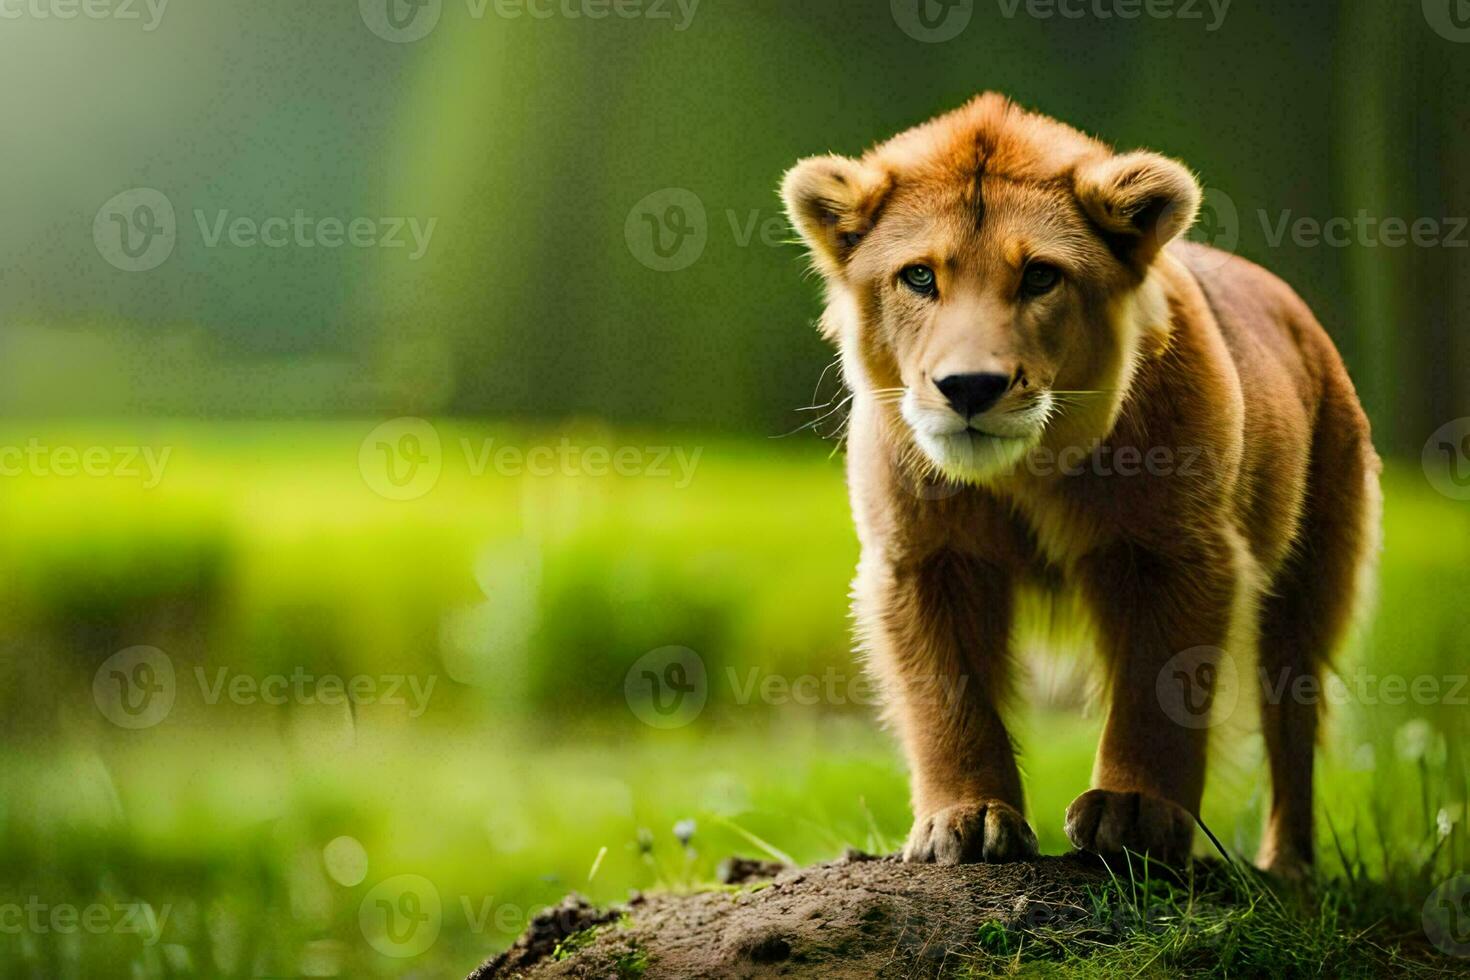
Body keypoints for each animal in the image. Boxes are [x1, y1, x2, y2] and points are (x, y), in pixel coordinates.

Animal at [782, 94, 1375, 875]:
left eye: (1039, 277)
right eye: (919, 277)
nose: (969, 387)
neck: (1029, 467)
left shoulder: (1180, 550)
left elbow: (1156, 689)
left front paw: (1133, 812)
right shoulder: (922, 557)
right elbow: (948, 696)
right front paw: (966, 819)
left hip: (1314, 573)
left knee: (1293, 718)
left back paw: (1290, 866)